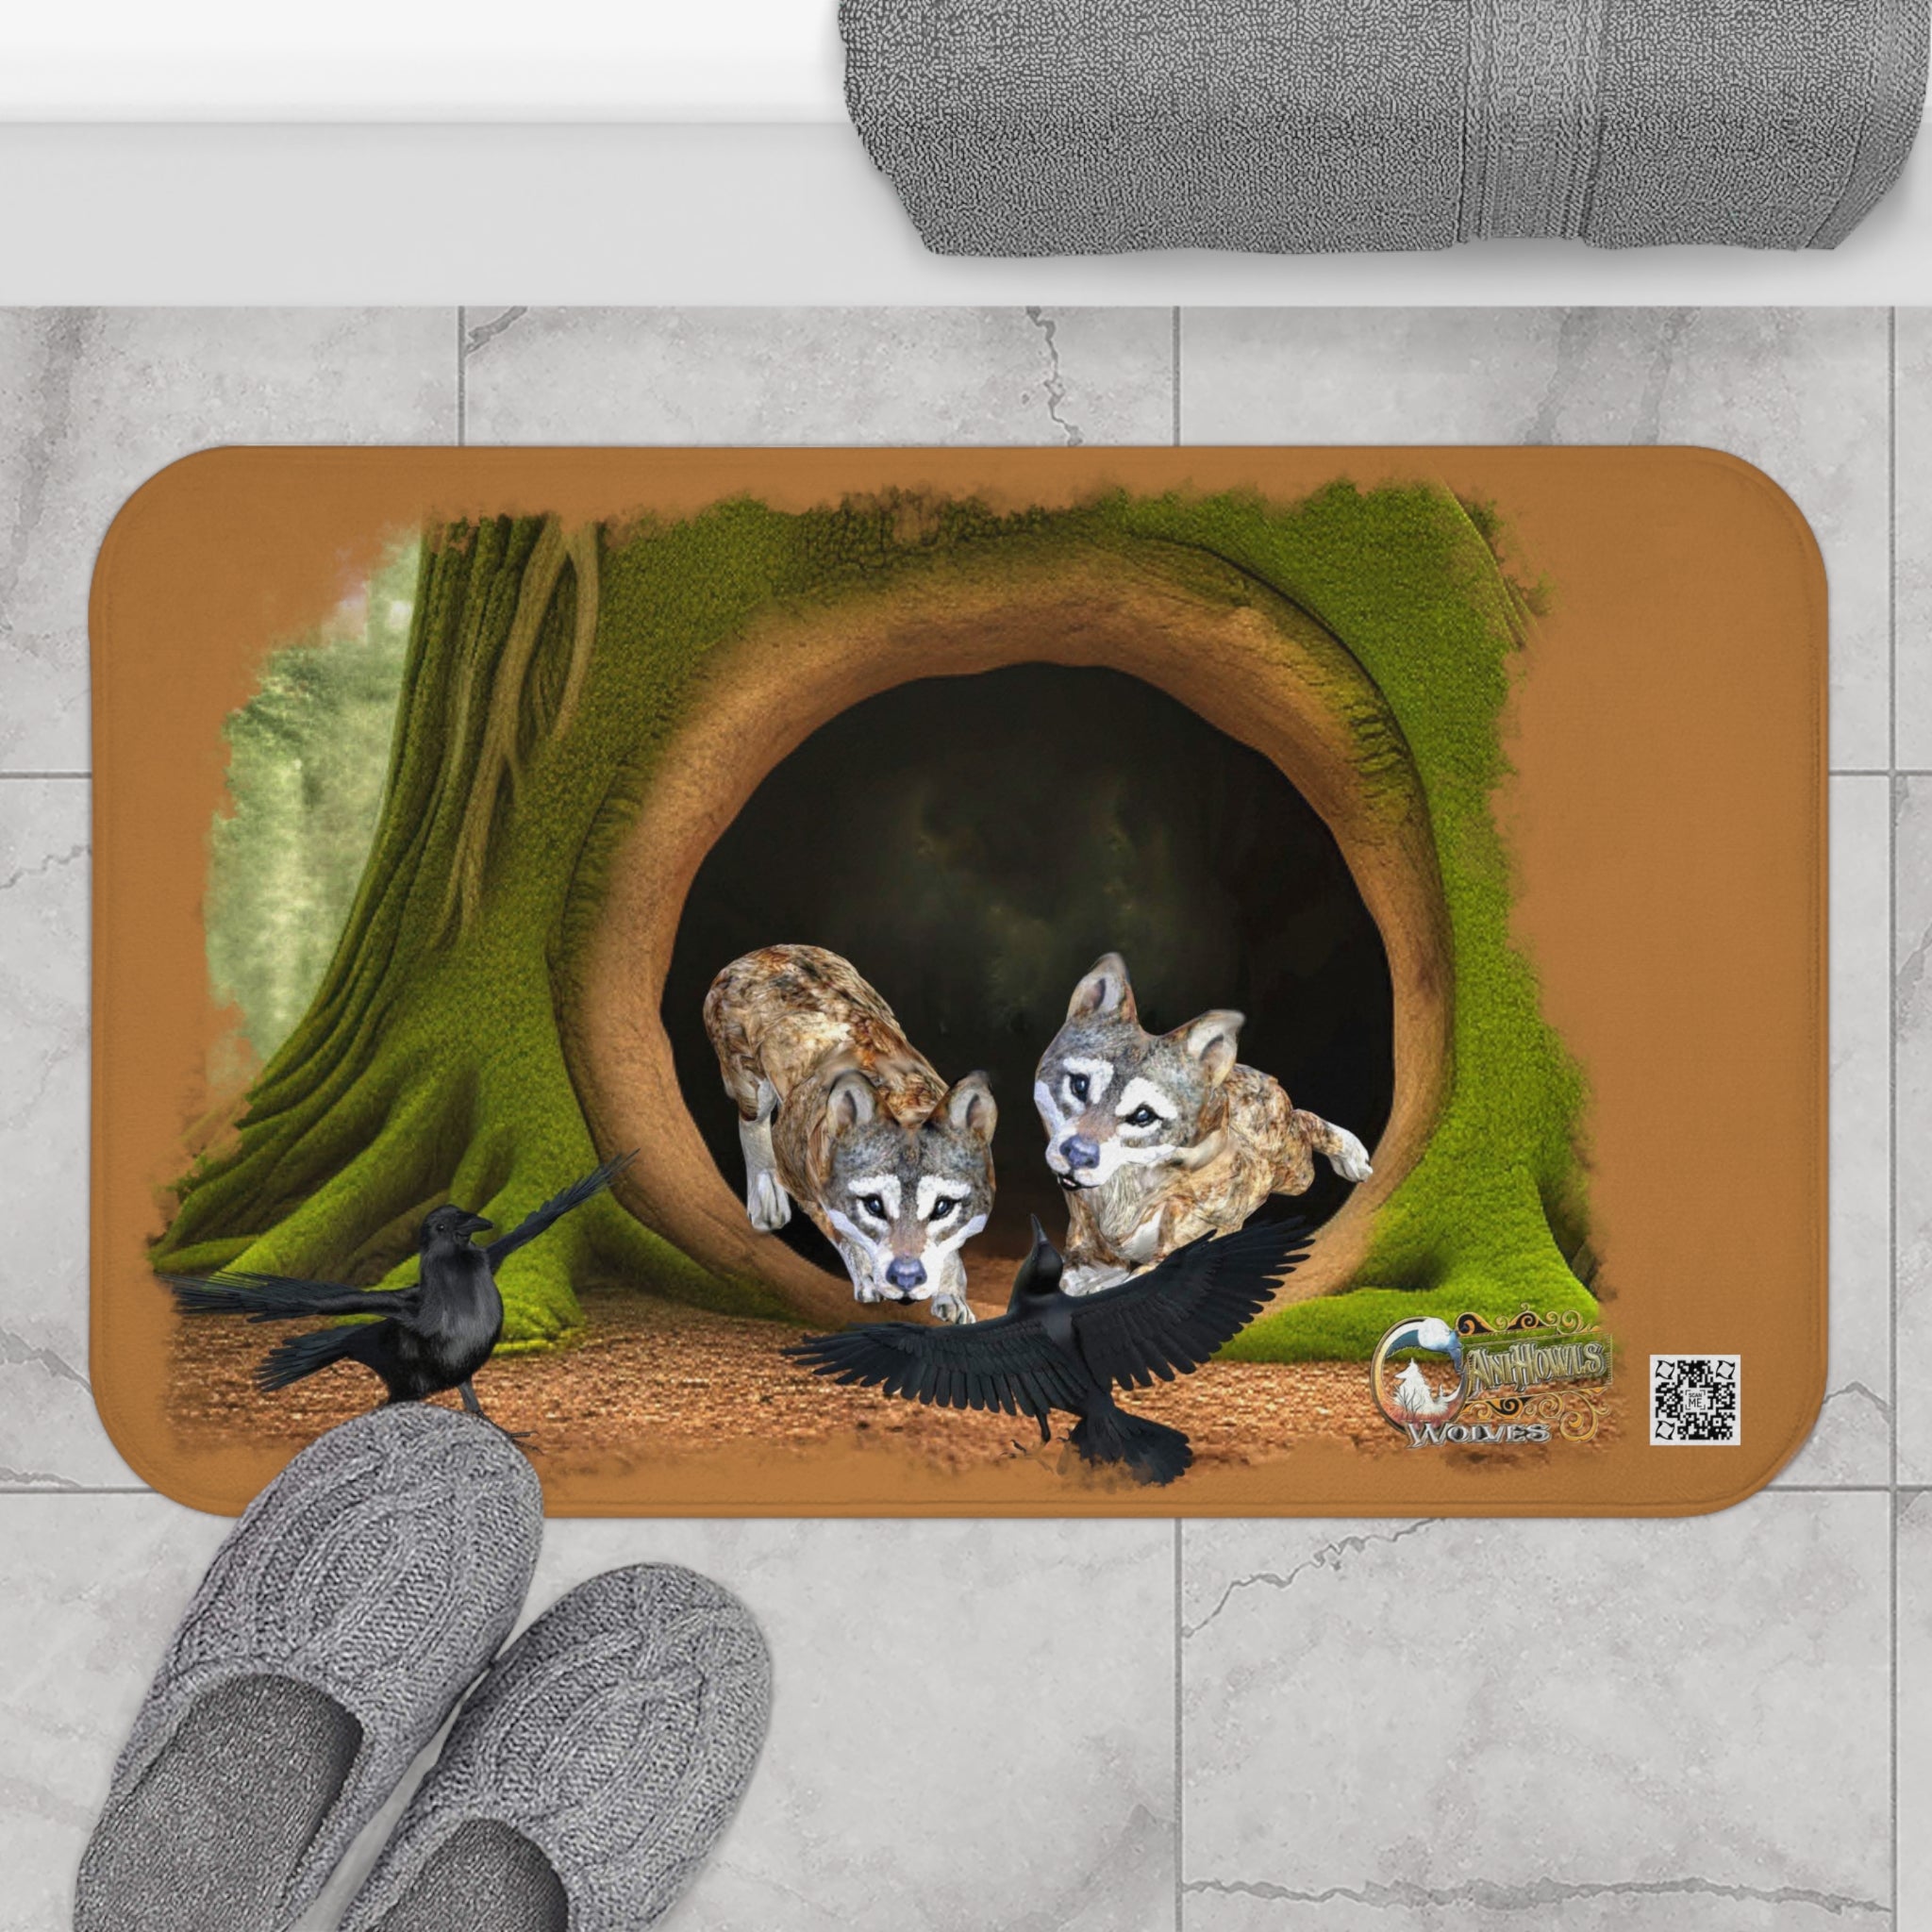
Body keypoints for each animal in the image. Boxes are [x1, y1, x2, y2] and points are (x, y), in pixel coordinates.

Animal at [703, 944, 996, 1324]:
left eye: (942, 1207)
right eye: (873, 1205)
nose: (906, 1277)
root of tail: (760, 952)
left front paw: (952, 1296)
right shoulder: (799, 1172)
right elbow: (842, 1229)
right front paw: (870, 1278)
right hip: (747, 1078)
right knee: (752, 1119)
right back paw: (766, 1201)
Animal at [1033, 953, 1374, 1294]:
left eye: (1143, 1115)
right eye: (1079, 1085)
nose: (1078, 1155)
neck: (1125, 1188)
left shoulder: (1189, 1239)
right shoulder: (1090, 1254)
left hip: (1295, 1172)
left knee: (1304, 1123)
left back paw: (1353, 1157)